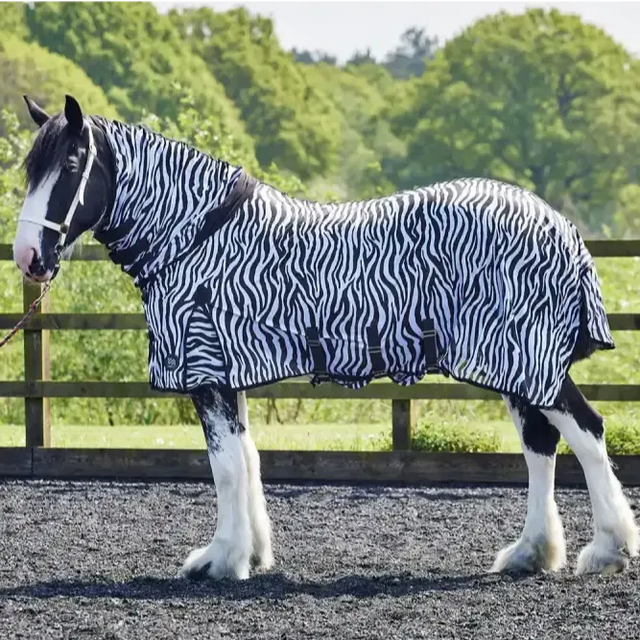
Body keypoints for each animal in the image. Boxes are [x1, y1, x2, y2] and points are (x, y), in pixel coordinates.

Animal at [13, 94, 638, 580]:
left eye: (72, 162)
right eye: (29, 169)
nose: (28, 257)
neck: (197, 233)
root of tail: (560, 224)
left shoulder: (207, 374)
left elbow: (225, 466)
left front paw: (219, 560)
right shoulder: (229, 374)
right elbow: (247, 458)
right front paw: (251, 554)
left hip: (529, 361)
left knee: (586, 432)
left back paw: (608, 548)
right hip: (518, 366)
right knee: (541, 444)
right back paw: (532, 553)